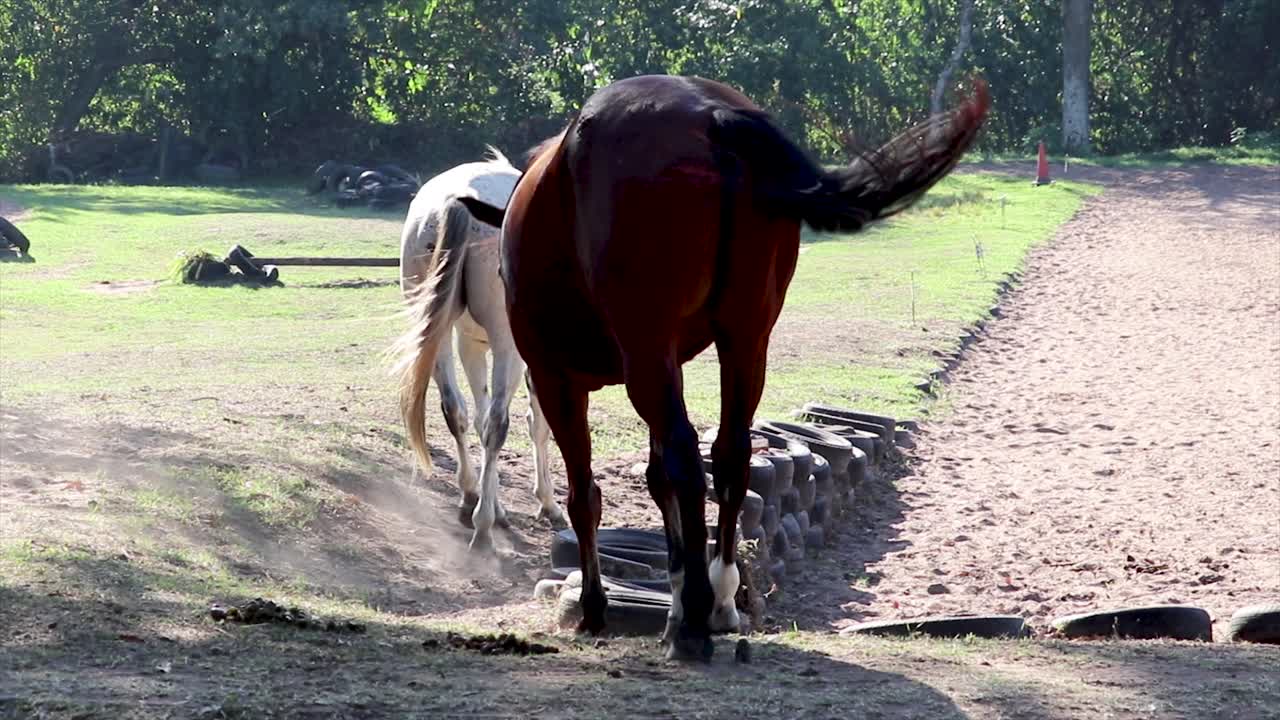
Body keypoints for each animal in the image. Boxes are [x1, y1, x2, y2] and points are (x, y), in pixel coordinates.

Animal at [392, 149, 568, 552]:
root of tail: (454, 202)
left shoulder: (470, 344)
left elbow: (477, 415)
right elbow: (536, 424)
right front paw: (547, 502)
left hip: (439, 335)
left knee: (455, 410)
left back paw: (472, 498)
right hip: (505, 346)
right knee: (497, 424)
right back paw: (483, 529)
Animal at [460, 75, 990, 659]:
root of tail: (710, 114)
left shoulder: (560, 380)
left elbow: (587, 496)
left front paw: (598, 607)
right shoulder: (670, 364)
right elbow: (657, 479)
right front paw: (675, 596)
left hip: (646, 355)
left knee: (688, 461)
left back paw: (692, 622)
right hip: (744, 340)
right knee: (730, 455)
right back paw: (716, 601)